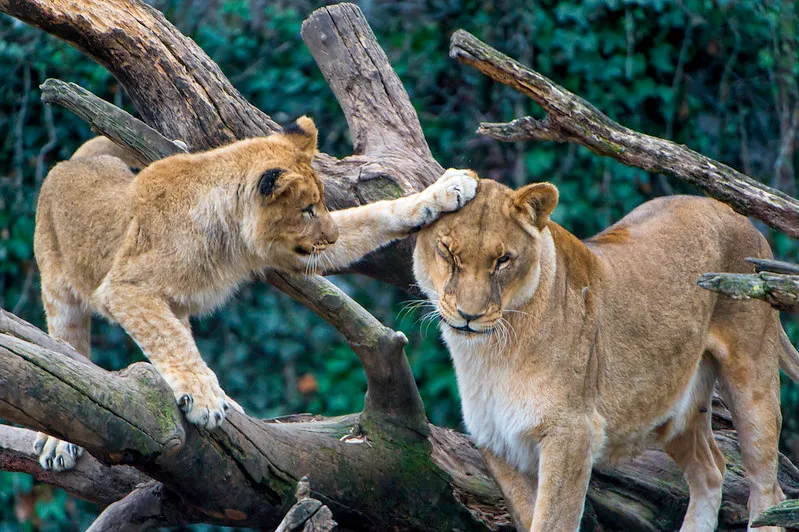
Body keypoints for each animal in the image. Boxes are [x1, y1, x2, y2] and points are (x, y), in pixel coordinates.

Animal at [33, 116, 478, 471]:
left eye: (322, 204)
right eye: (307, 209)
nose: (331, 235)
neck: (230, 237)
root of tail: (73, 162)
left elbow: (375, 214)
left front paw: (447, 189)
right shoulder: (125, 286)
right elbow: (170, 340)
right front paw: (206, 399)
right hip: (58, 291)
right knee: (66, 354)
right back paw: (58, 441)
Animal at [413, 178, 798, 532]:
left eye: (502, 260)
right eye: (448, 252)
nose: (468, 315)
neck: (489, 352)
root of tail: (740, 218)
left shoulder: (572, 434)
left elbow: (552, 521)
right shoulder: (495, 440)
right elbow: (527, 516)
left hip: (752, 381)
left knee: (768, 491)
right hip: (675, 407)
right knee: (711, 470)